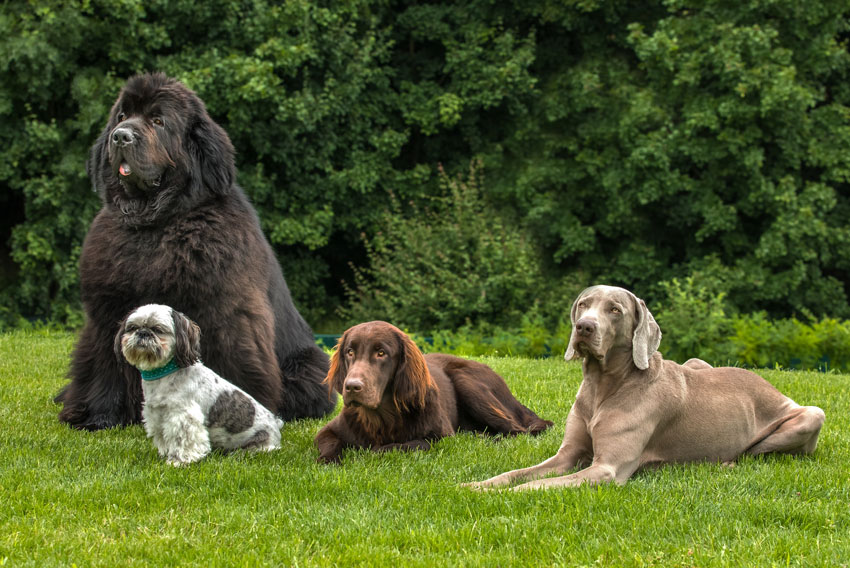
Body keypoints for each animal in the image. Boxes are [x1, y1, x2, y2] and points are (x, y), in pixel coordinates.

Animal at [55, 72, 334, 430]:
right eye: (121, 116)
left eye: (158, 120)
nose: (120, 136)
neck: (156, 224)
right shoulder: (108, 313)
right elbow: (106, 364)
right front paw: (98, 416)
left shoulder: (226, 314)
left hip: (309, 365)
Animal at [115, 304, 284, 468]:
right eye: (132, 328)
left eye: (157, 329)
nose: (143, 333)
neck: (164, 374)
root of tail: (275, 425)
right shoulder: (157, 415)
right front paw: (165, 455)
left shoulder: (184, 416)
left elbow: (184, 439)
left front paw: (179, 461)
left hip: (258, 443)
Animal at [314, 322, 548, 464]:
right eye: (350, 352)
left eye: (381, 353)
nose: (352, 386)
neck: (382, 418)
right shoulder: (328, 431)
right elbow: (330, 444)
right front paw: (328, 461)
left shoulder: (440, 438)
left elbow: (400, 446)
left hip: (466, 381)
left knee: (517, 431)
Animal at [460, 286, 824, 490]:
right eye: (583, 304)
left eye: (614, 310)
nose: (584, 327)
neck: (603, 386)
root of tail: (771, 387)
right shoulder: (566, 456)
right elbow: (517, 474)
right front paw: (475, 485)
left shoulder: (606, 470)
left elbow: (535, 486)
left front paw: (498, 496)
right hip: (696, 362)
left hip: (811, 415)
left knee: (754, 450)